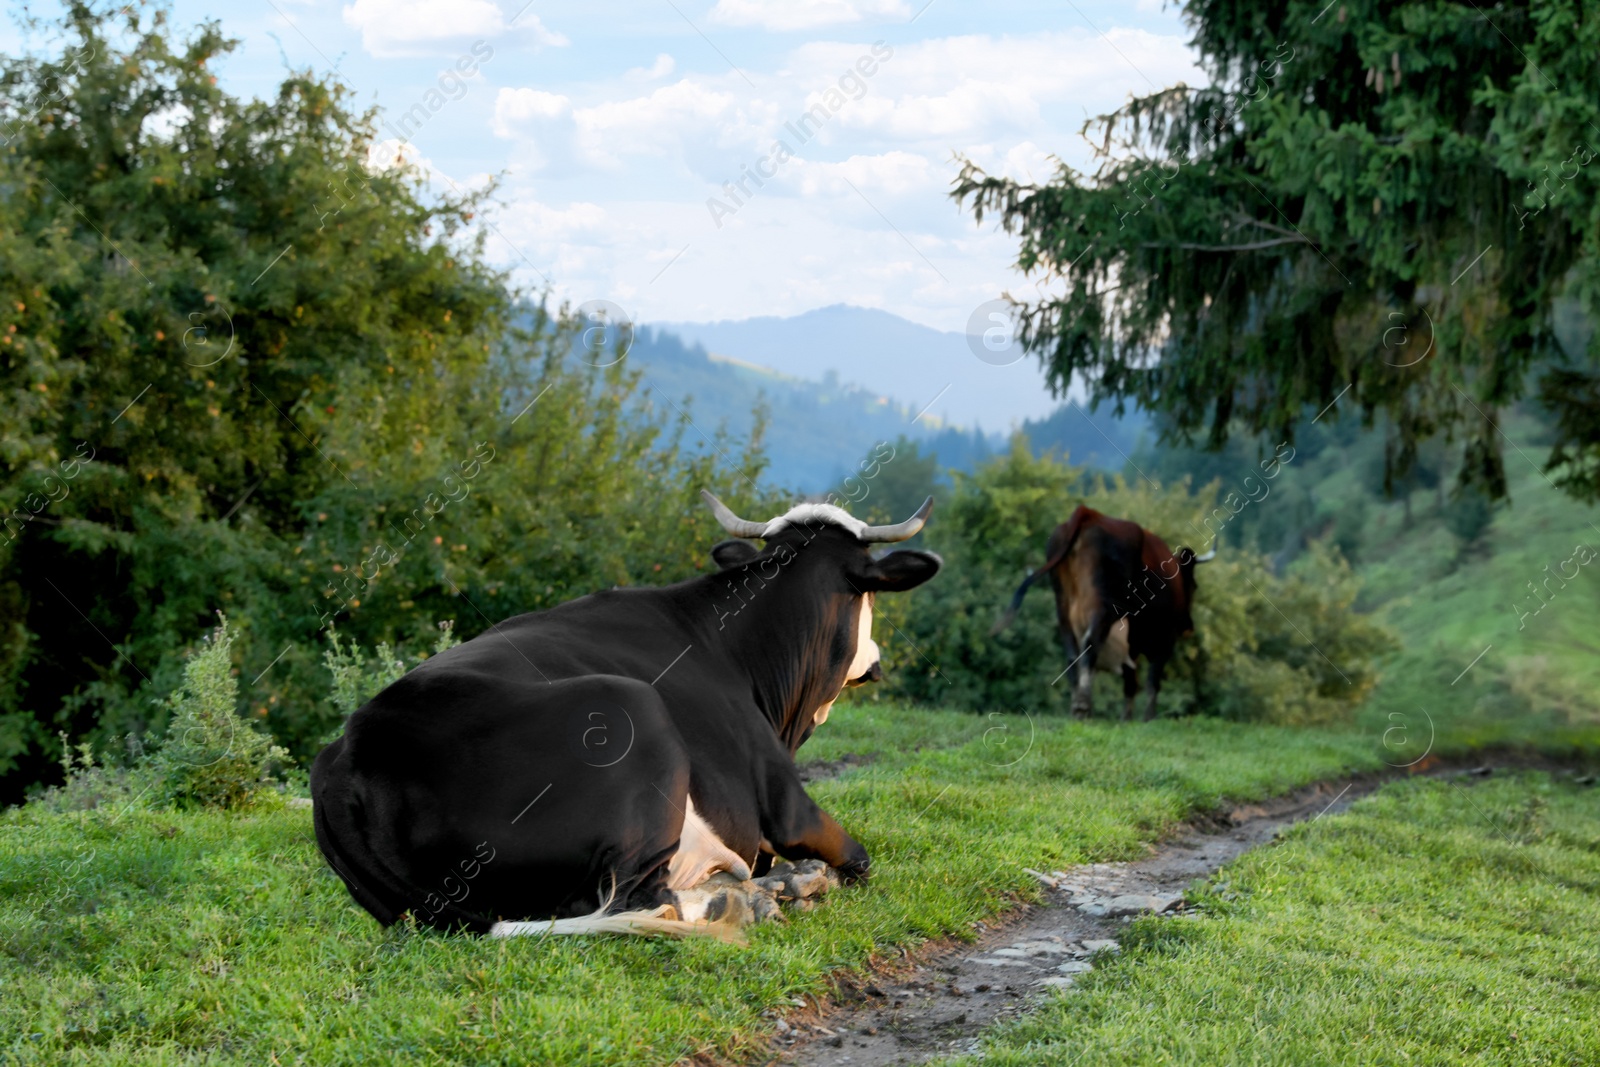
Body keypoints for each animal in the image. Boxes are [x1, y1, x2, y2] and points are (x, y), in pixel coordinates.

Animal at [308, 489, 934, 940]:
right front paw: (805, 877)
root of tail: (348, 755)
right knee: (643, 899)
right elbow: (857, 858)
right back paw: (762, 897)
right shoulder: (784, 805)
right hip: (631, 710)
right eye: (869, 598)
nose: (876, 661)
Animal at [992, 505, 1203, 723]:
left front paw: (1126, 719)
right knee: (1090, 644)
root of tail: (1088, 513)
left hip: (1064, 607)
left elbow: (1131, 682)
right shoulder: (1164, 641)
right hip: (1103, 606)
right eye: (1194, 586)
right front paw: (1148, 718)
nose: (1189, 627)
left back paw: (1077, 706)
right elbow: (1152, 681)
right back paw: (1083, 705)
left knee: (1072, 653)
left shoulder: (1132, 647)